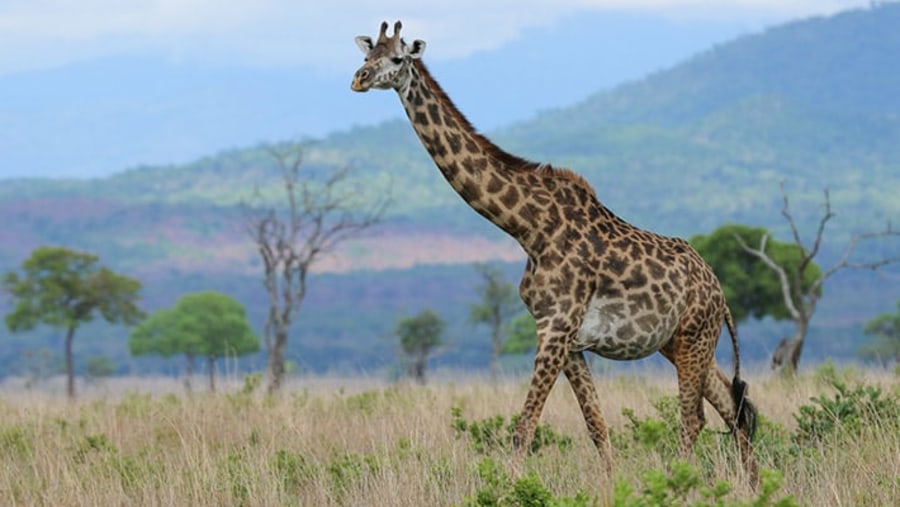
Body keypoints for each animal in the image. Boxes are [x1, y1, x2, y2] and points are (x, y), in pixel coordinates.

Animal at [352, 21, 760, 486]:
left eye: (397, 58)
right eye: (367, 55)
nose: (359, 79)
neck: (526, 228)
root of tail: (720, 292)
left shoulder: (555, 327)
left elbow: (524, 425)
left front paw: (510, 489)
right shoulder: (570, 339)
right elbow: (596, 425)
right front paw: (611, 487)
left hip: (694, 336)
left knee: (695, 418)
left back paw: (685, 483)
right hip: (678, 342)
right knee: (732, 407)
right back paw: (753, 485)